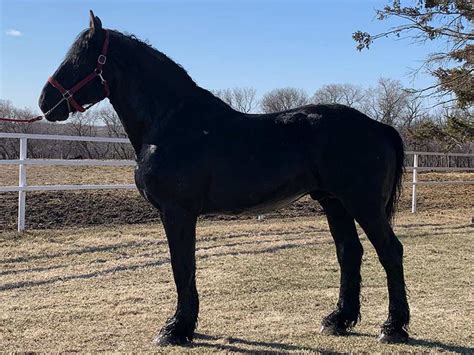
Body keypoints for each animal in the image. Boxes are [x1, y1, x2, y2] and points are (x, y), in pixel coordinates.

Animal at [38, 11, 408, 348]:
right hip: (335, 202)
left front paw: (176, 329)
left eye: (79, 59)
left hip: (362, 203)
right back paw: (338, 320)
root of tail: (379, 126)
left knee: (390, 251)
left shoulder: (177, 212)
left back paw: (393, 328)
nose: (45, 102)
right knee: (349, 252)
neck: (172, 123)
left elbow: (182, 266)